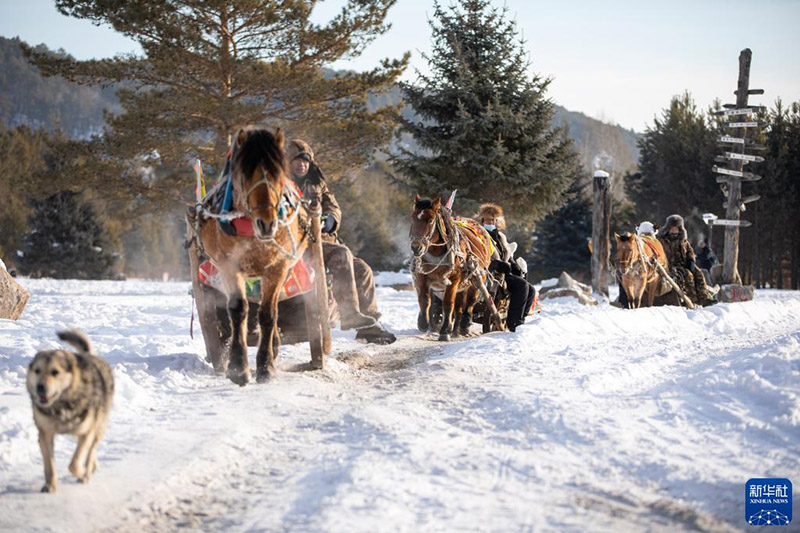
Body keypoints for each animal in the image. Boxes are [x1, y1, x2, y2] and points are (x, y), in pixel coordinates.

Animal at [26, 330, 113, 492]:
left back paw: (88, 470)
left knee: (92, 450)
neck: (61, 406)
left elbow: (74, 464)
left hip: (98, 426)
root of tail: (91, 356)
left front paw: (83, 473)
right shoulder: (45, 433)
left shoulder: (87, 432)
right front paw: (50, 485)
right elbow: (49, 465)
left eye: (55, 372)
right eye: (37, 371)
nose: (40, 387)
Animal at [188, 127, 310, 384]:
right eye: (245, 174)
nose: (267, 223)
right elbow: (238, 310)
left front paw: (266, 366)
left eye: (278, 174)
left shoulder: (278, 267)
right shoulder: (228, 265)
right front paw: (238, 366)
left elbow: (268, 314)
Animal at [412, 195, 494, 340]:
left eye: (430, 220)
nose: (416, 248)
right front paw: (423, 323)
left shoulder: (454, 279)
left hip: (478, 277)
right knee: (459, 306)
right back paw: (455, 328)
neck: (436, 252)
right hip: (462, 285)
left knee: (470, 301)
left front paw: (444, 331)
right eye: (413, 218)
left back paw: (464, 325)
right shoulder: (422, 276)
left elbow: (448, 304)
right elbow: (424, 300)